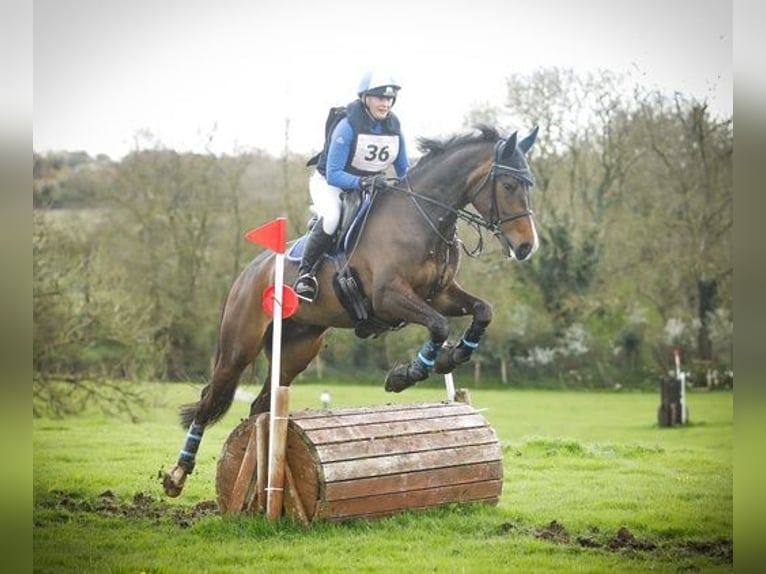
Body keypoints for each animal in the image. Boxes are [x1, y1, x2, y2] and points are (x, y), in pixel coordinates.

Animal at [165, 125, 544, 500]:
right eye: (509, 185)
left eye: (529, 184)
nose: (527, 246)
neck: (422, 218)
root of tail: (249, 272)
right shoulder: (389, 296)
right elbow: (438, 326)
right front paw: (407, 374)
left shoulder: (440, 294)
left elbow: (483, 311)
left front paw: (454, 357)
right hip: (238, 347)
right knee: (209, 399)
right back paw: (178, 475)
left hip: (296, 350)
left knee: (263, 404)